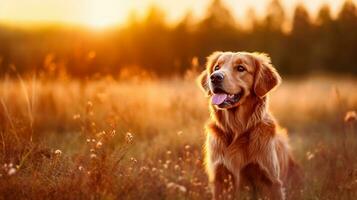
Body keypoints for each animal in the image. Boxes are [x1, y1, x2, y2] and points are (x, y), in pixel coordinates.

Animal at [197, 52, 298, 200]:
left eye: (241, 68)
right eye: (216, 67)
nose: (215, 77)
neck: (237, 129)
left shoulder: (271, 181)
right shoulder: (220, 179)